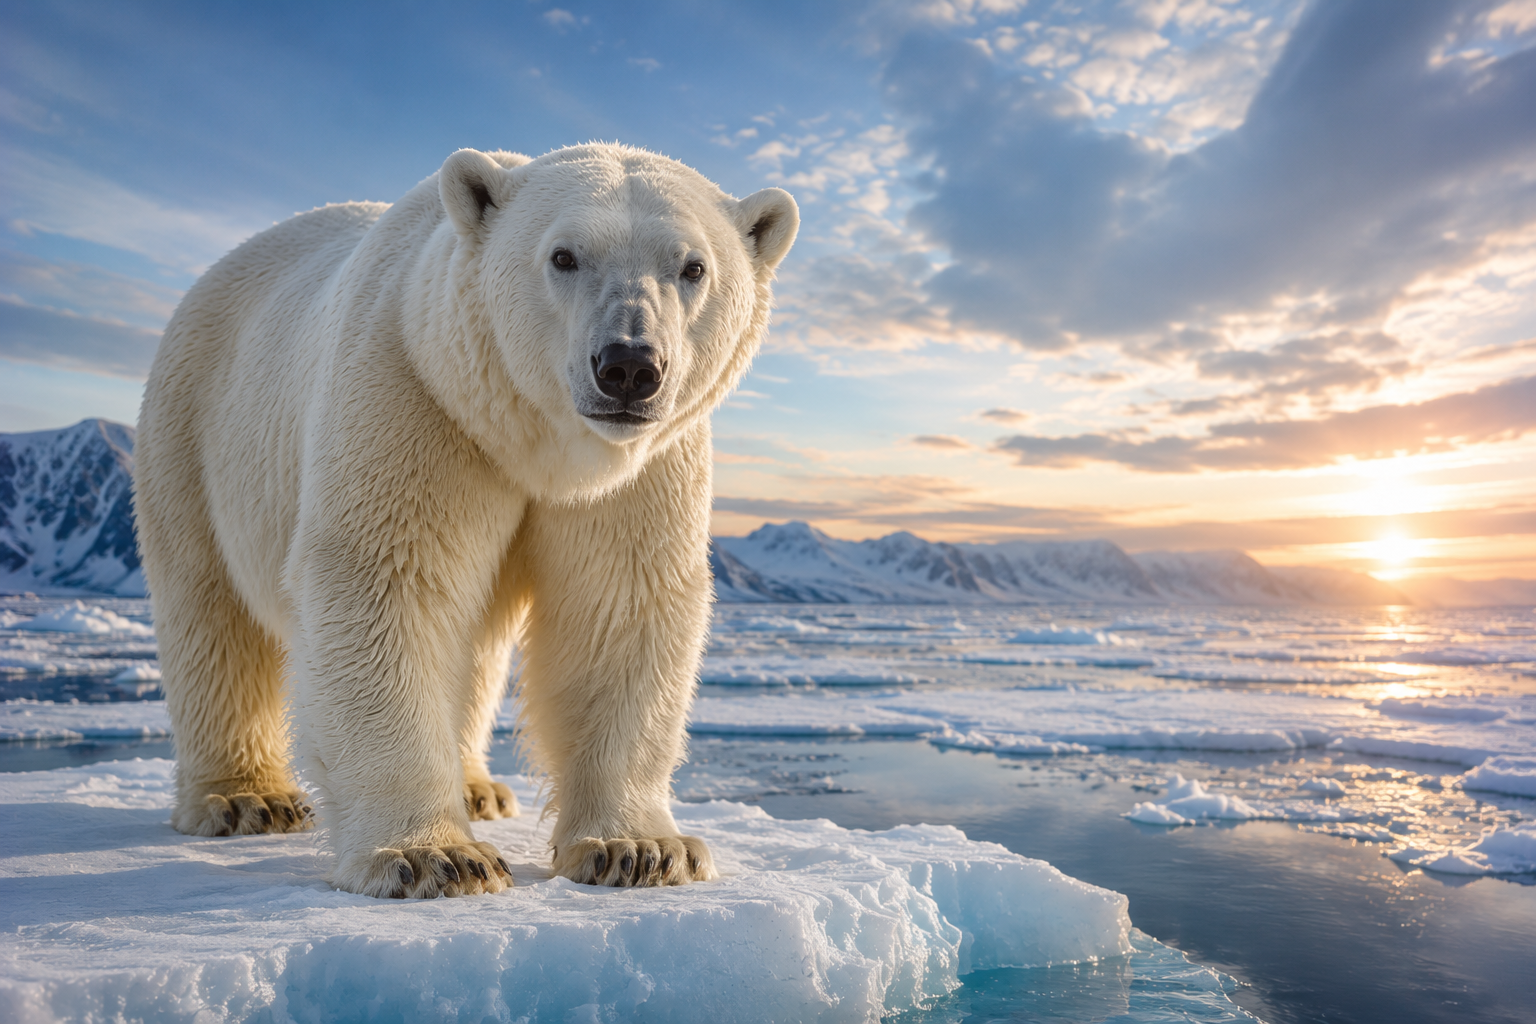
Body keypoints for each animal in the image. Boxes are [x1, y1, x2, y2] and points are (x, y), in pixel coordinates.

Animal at [133, 144, 798, 898]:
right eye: (563, 255)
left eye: (692, 267)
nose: (629, 365)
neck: (528, 441)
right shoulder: (414, 394)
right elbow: (384, 580)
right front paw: (435, 857)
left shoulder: (645, 467)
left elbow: (618, 603)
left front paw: (640, 849)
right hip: (197, 428)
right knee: (210, 613)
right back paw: (246, 798)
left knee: (476, 645)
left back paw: (479, 787)